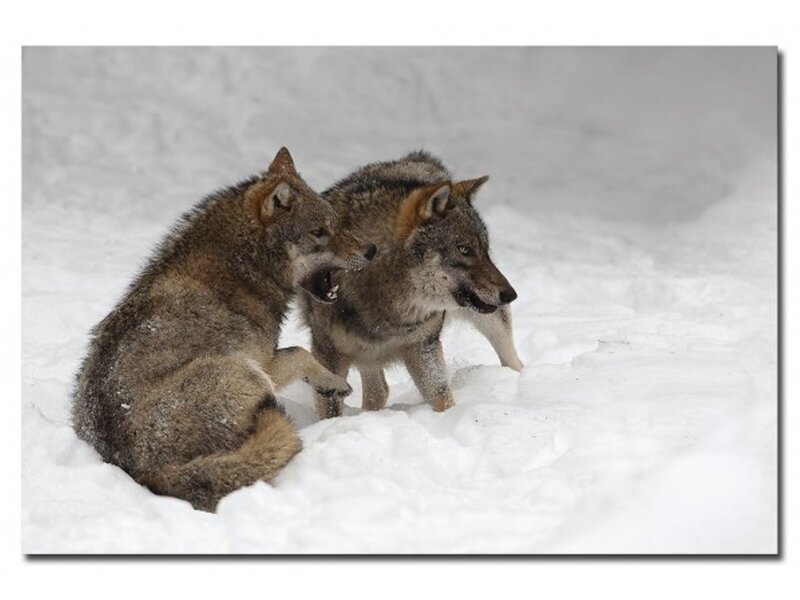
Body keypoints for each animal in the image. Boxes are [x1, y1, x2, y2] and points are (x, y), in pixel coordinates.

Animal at [72, 148, 376, 512]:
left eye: (336, 224)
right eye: (319, 232)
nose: (371, 250)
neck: (241, 270)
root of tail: (149, 471)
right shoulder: (266, 363)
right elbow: (302, 354)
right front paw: (334, 385)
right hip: (245, 371)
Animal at [300, 151, 522, 419]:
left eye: (485, 250)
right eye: (464, 249)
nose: (510, 295)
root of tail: (417, 159)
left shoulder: (423, 348)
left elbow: (442, 397)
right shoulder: (328, 356)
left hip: (492, 325)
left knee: (513, 359)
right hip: (366, 357)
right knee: (379, 390)